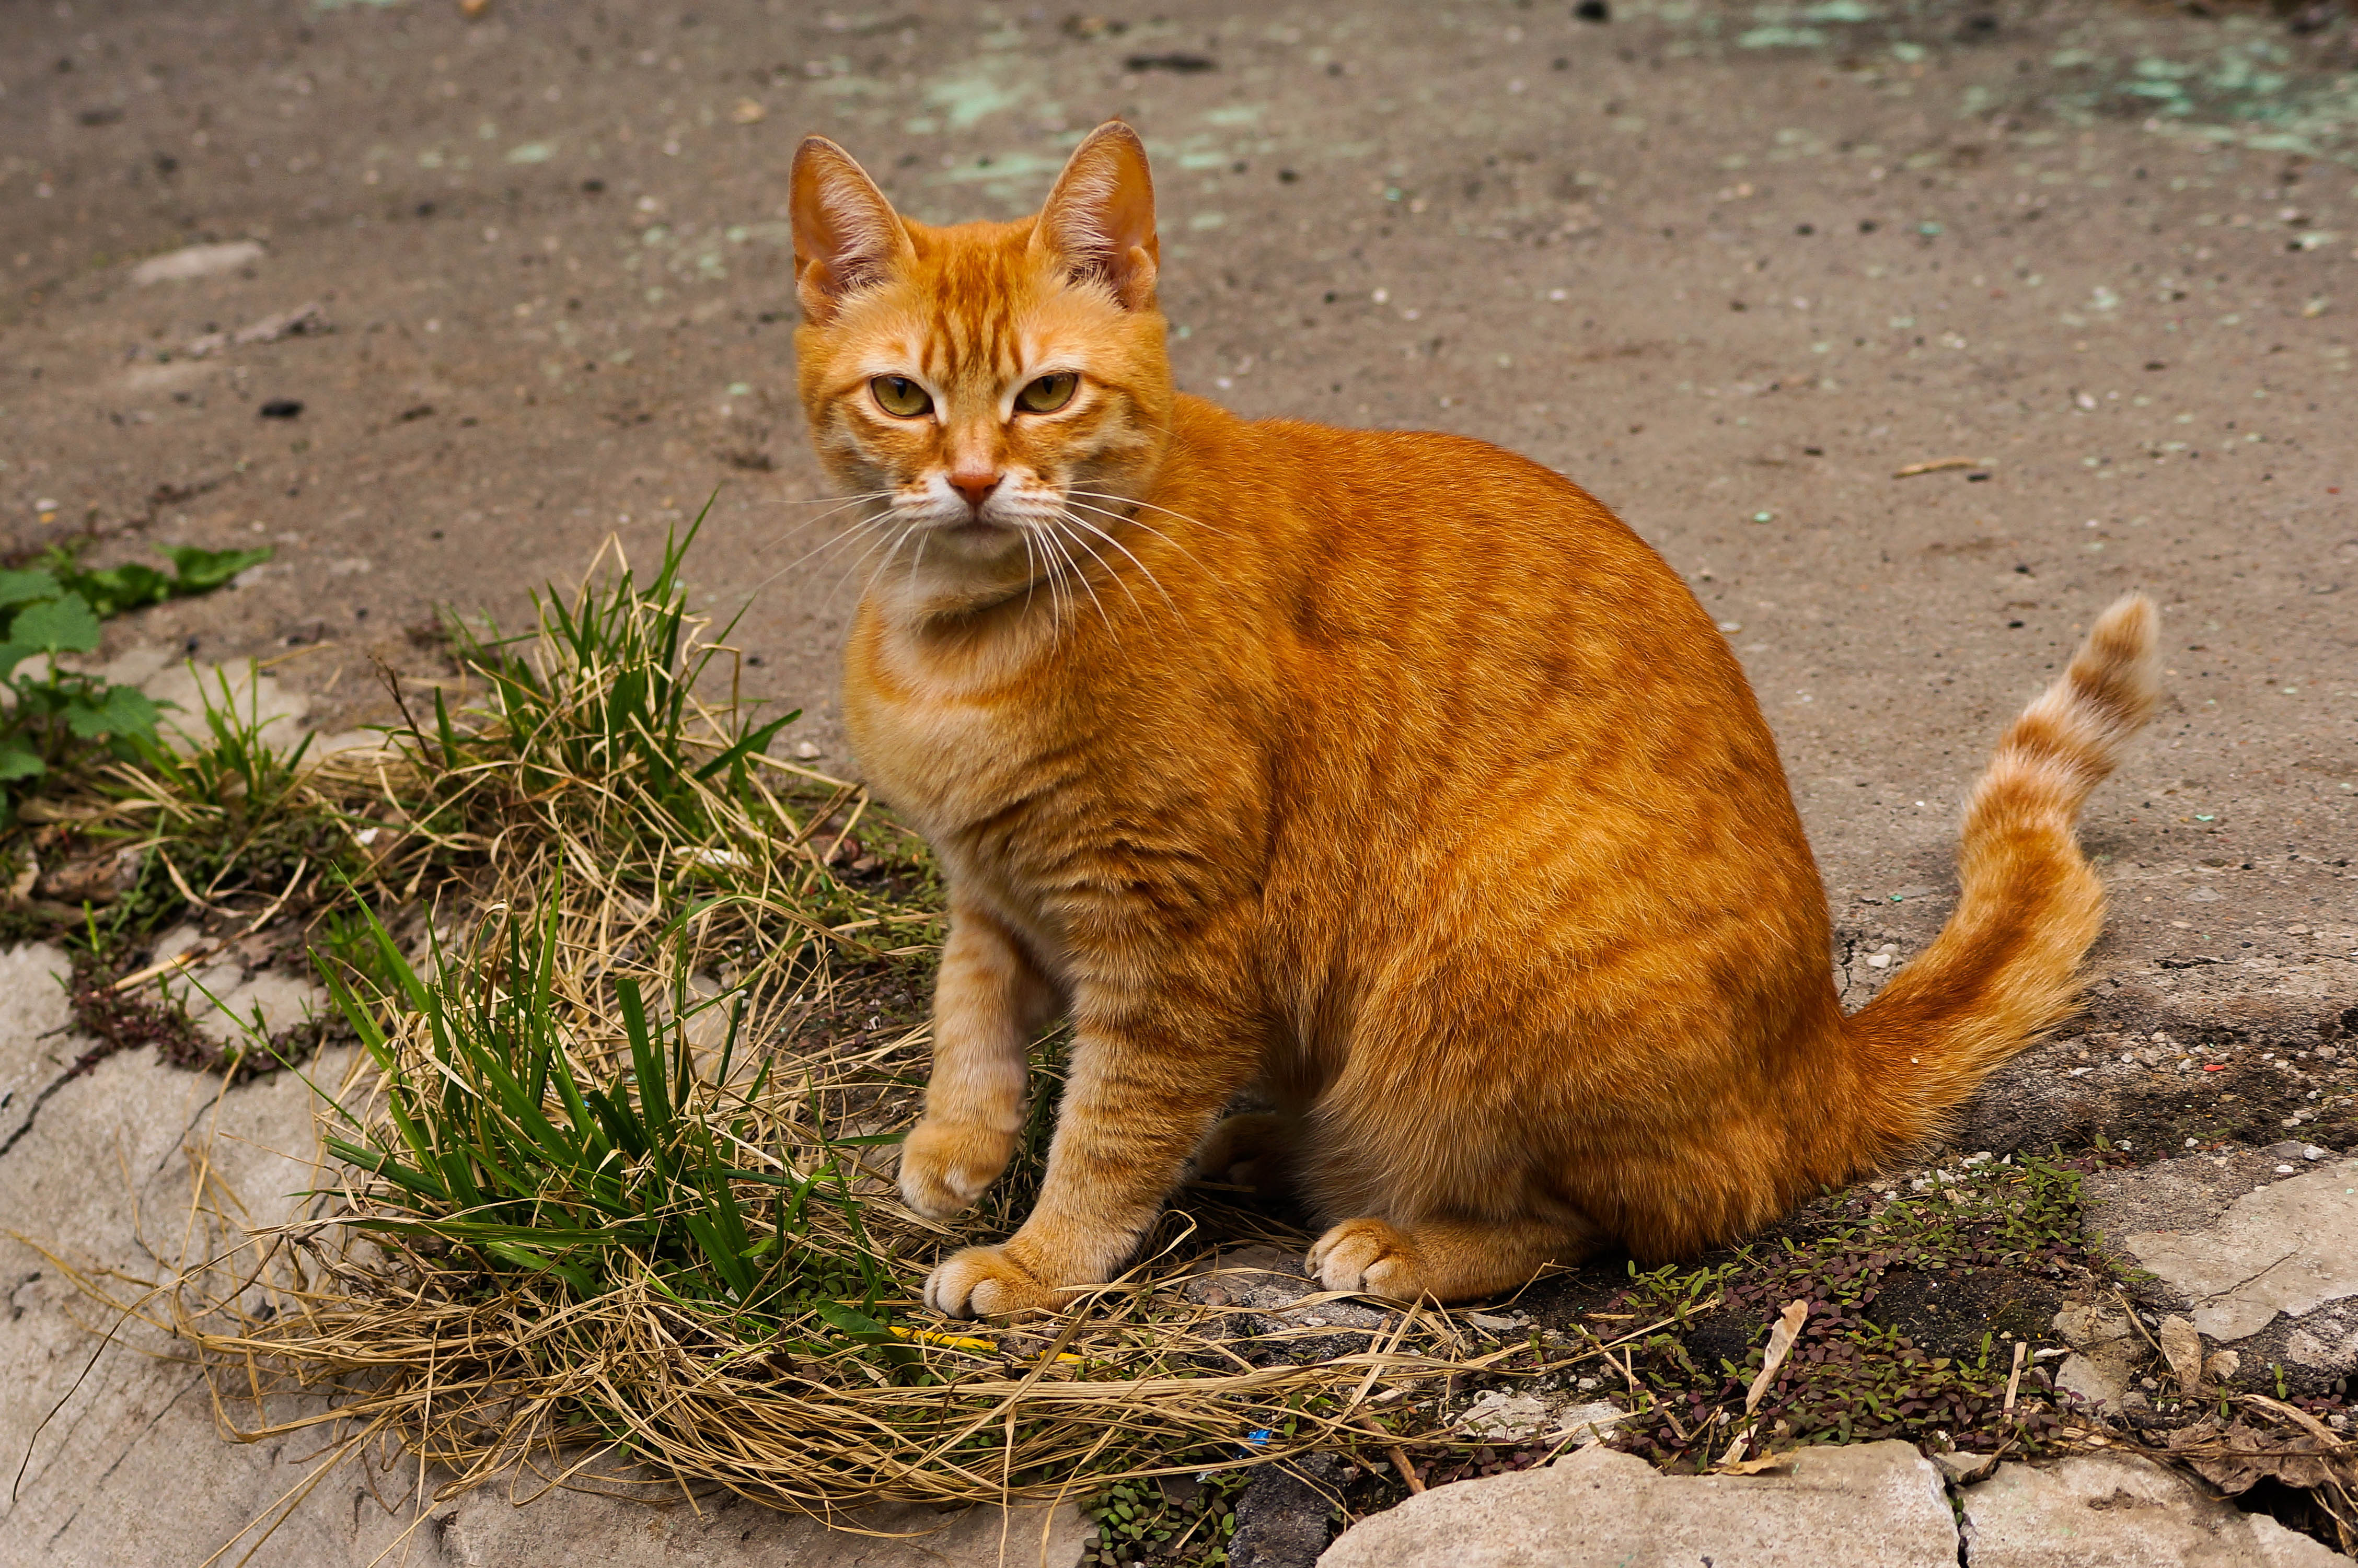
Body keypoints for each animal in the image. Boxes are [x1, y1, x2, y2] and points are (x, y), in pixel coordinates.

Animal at [788, 128, 2159, 1311]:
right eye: (903, 396)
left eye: (1047, 392)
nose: (971, 480)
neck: (960, 642)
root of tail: (1821, 1060)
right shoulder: (992, 884)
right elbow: (966, 1019)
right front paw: (954, 1149)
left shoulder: (1170, 935)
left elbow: (1110, 1126)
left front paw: (1042, 1258)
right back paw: (1262, 1146)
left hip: (1468, 979)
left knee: (1610, 1219)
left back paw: (1395, 1238)